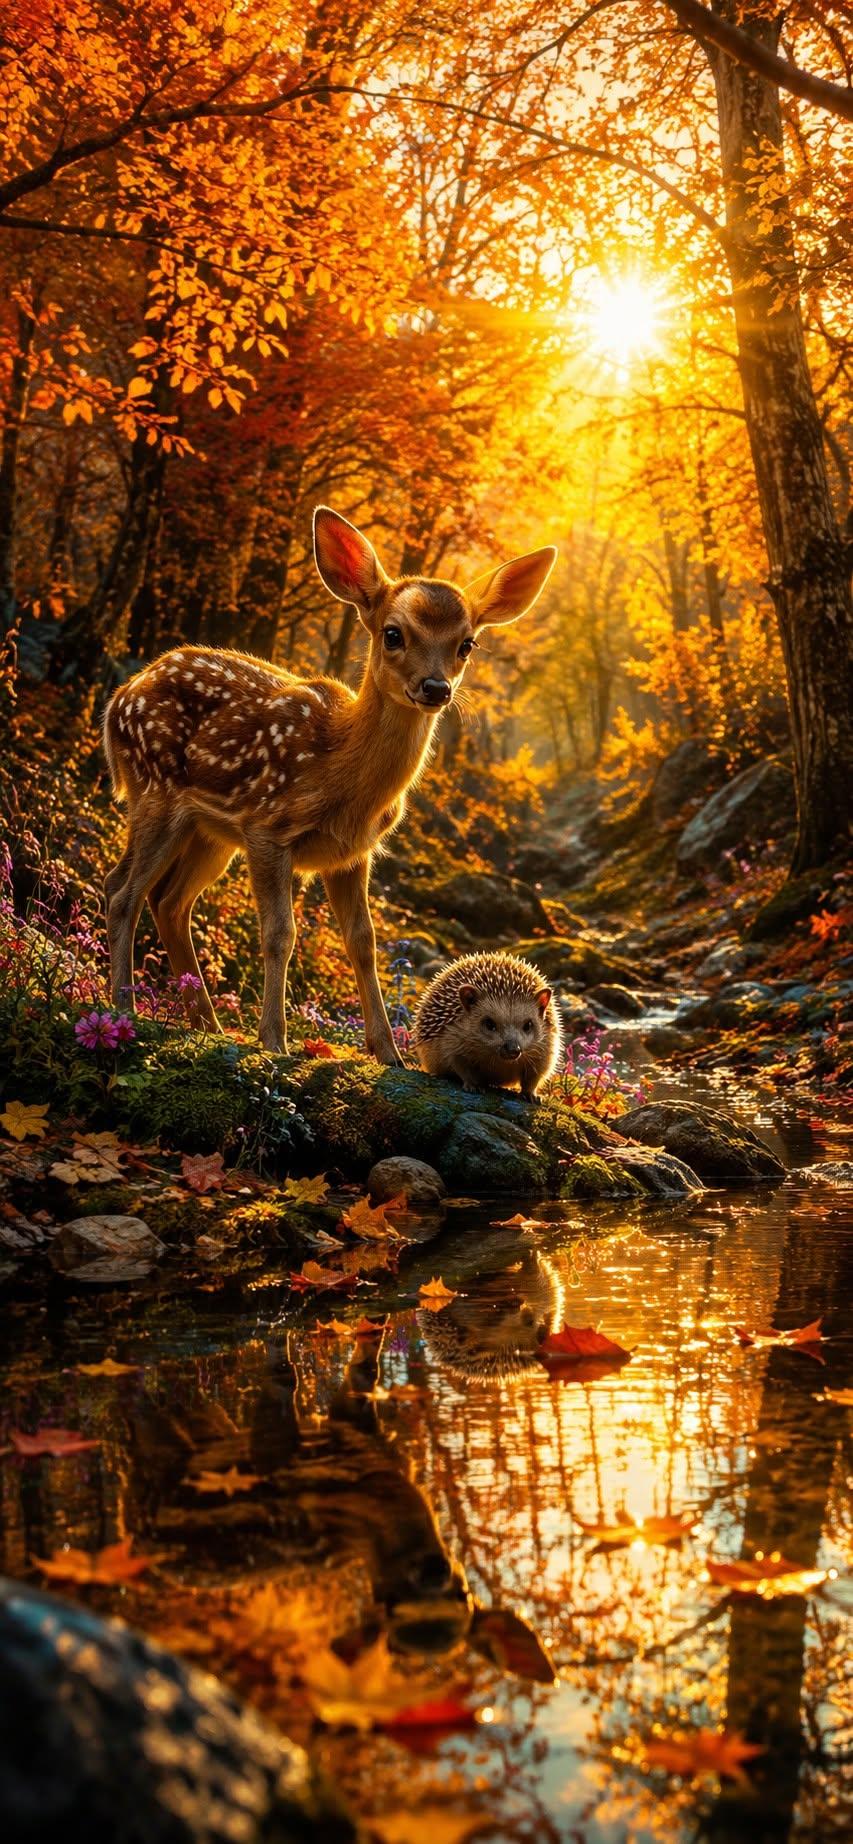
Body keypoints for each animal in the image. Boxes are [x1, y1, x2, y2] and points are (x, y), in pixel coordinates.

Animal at [103, 507, 556, 1060]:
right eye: (393, 633)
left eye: (466, 644)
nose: (435, 687)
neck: (340, 771)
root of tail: (119, 697)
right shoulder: (267, 828)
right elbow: (280, 933)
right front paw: (275, 1041)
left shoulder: (352, 853)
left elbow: (363, 942)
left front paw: (389, 1052)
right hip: (156, 792)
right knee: (123, 891)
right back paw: (124, 1008)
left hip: (208, 833)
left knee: (166, 901)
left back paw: (207, 1024)